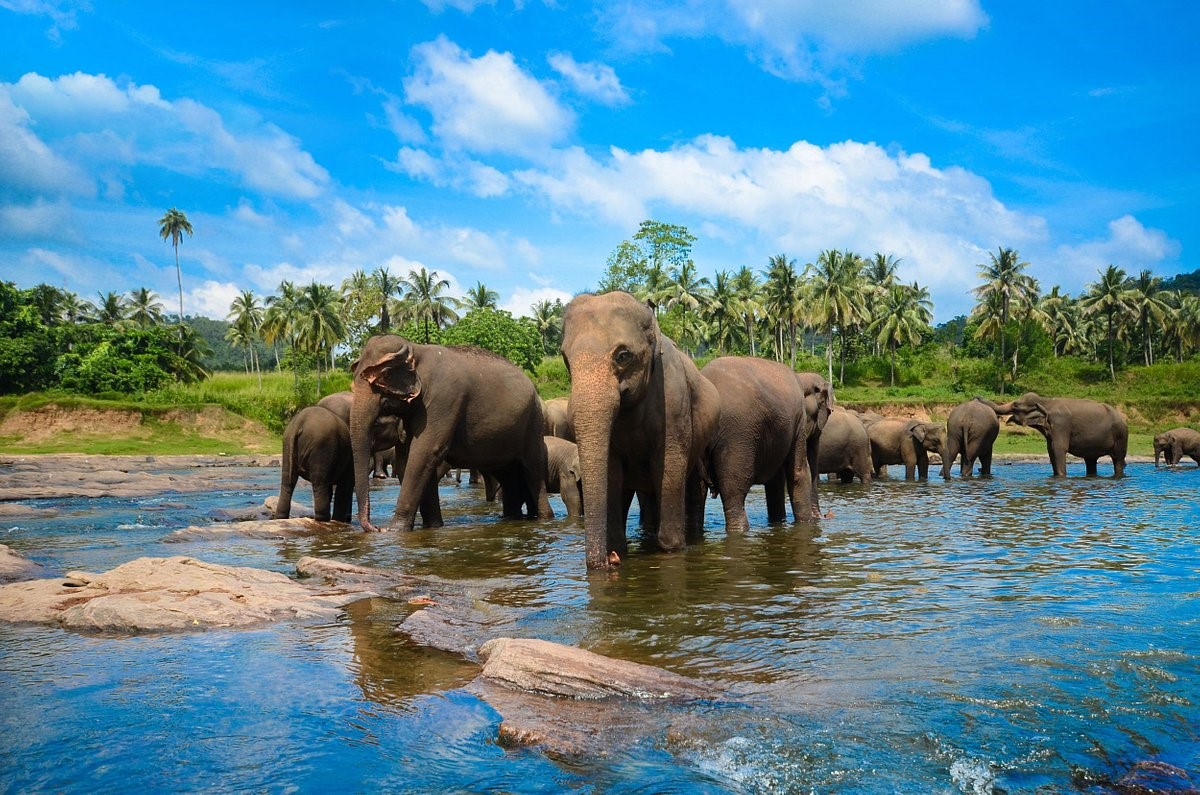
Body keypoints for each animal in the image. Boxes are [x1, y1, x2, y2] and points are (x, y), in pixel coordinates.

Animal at [348, 333, 552, 533]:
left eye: (384, 376)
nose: (375, 527)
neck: (415, 349)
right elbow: (410, 458)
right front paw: (433, 526)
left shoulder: (443, 399)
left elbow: (425, 452)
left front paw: (394, 530)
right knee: (508, 475)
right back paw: (512, 518)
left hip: (533, 423)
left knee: (533, 471)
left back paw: (544, 518)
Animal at [559, 293, 715, 574]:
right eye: (565, 358)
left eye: (623, 356)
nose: (610, 561)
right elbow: (612, 473)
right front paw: (618, 549)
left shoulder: (673, 401)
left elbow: (669, 467)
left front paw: (672, 550)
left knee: (693, 484)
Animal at [984, 393, 1123, 480]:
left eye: (1015, 406)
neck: (1046, 401)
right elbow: (1051, 450)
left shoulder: (1061, 424)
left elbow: (1058, 448)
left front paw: (1061, 477)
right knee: (1090, 461)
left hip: (1121, 435)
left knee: (1118, 460)